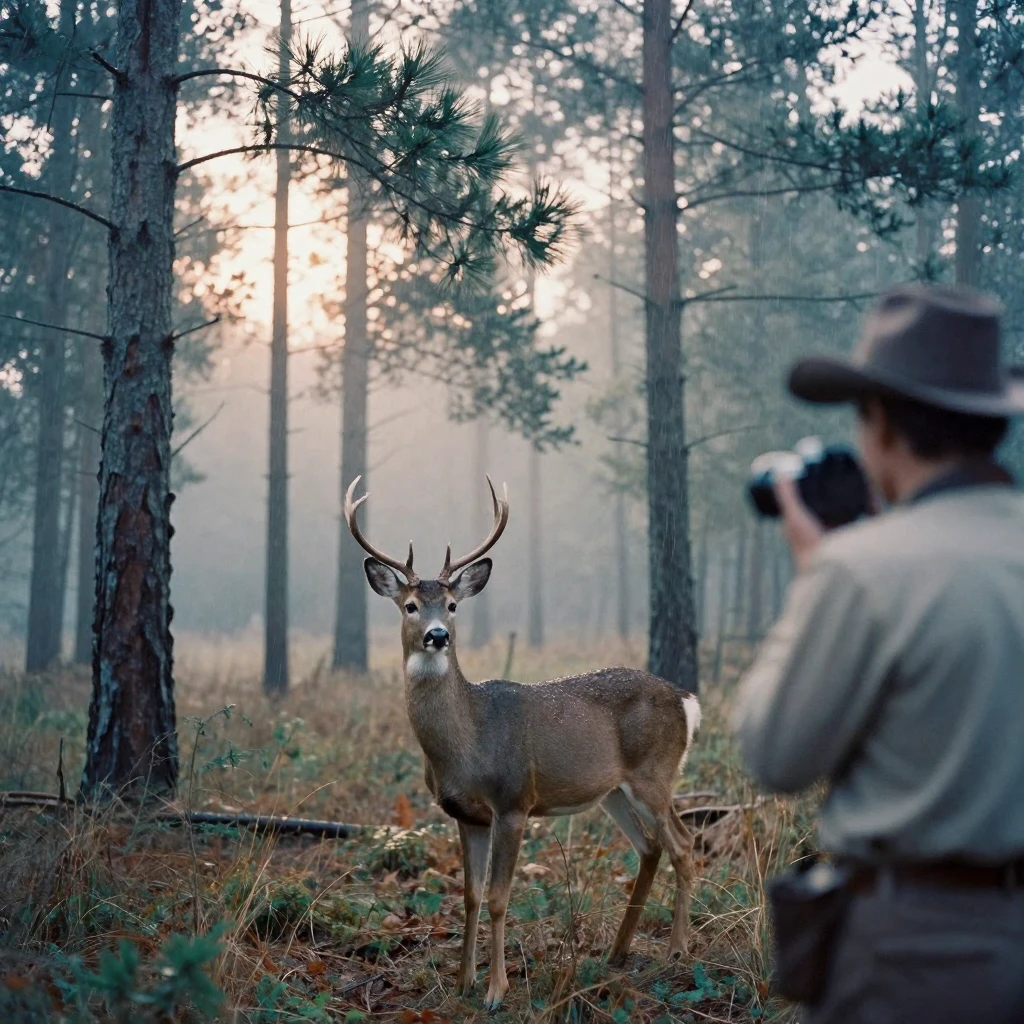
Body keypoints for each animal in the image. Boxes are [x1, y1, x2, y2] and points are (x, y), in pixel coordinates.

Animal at [345, 475, 701, 1010]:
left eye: (452, 605)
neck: (467, 745)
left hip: (654, 774)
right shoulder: (465, 814)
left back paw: (678, 950)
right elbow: (469, 896)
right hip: (612, 791)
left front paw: (496, 990)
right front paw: (463, 982)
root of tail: (684, 699)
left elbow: (498, 897)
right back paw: (616, 952)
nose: (437, 635)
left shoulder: (513, 801)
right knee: (652, 846)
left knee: (683, 843)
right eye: (410, 605)